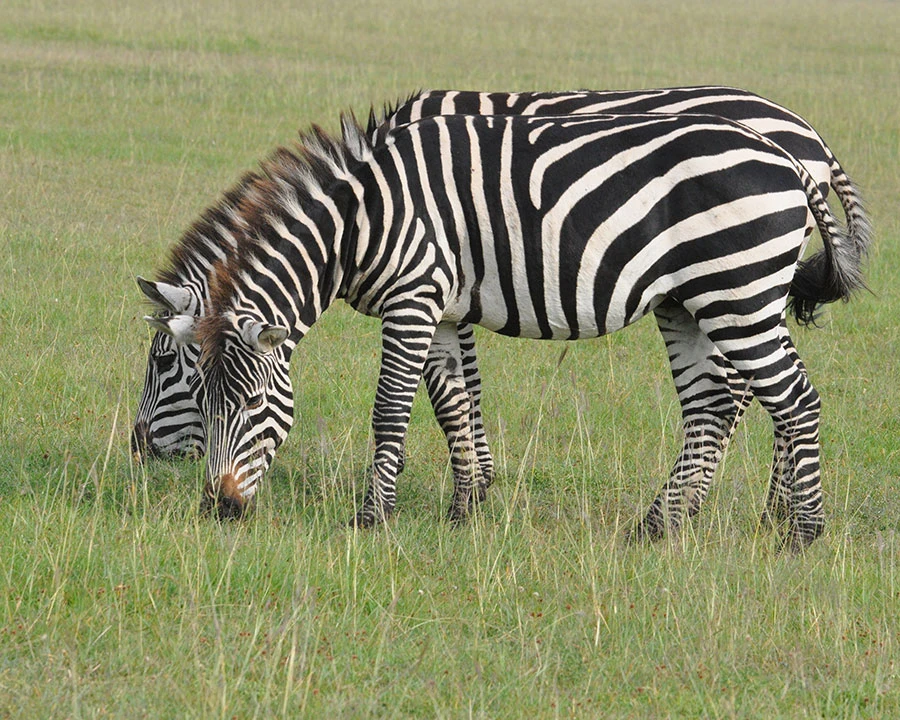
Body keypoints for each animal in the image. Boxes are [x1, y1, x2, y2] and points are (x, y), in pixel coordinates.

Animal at [133, 86, 870, 531]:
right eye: (202, 392)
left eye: (169, 368)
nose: (221, 509)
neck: (360, 219)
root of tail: (793, 144)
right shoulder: (444, 305)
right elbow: (455, 399)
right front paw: (467, 505)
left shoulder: (416, 296)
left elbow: (394, 407)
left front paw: (373, 518)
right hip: (697, 300)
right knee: (719, 403)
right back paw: (666, 524)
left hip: (737, 291)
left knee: (787, 398)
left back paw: (796, 530)